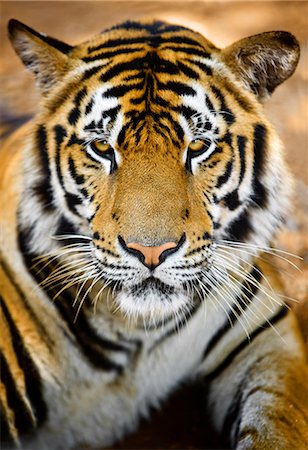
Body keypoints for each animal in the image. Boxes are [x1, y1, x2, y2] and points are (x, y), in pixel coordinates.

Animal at [0, 17, 308, 450]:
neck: (139, 330)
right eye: (102, 147)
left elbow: (280, 425)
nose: (150, 252)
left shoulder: (268, 343)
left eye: (198, 146)